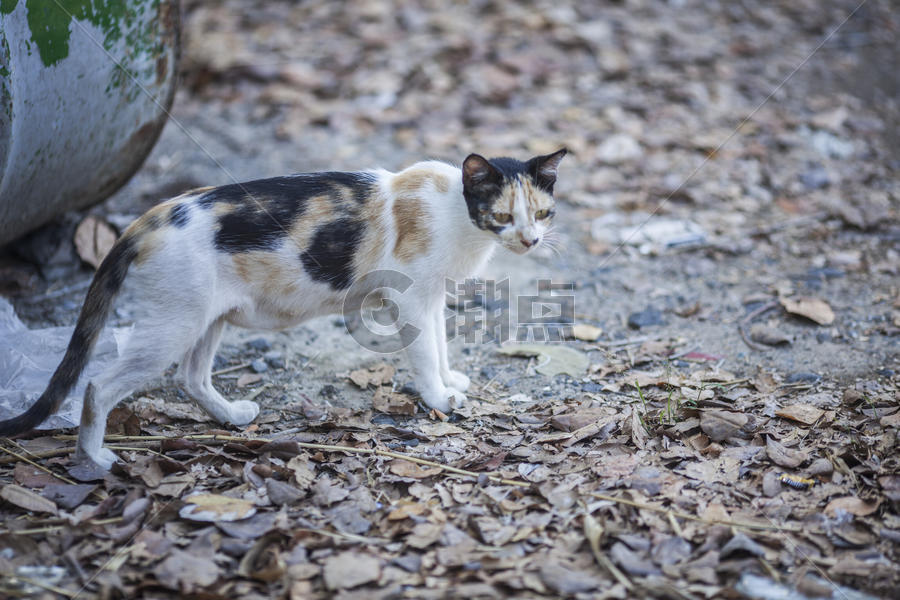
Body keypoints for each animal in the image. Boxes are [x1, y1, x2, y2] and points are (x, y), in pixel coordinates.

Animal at [0, 149, 564, 468]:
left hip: (206, 319)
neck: (455, 213)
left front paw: (450, 382)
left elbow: (441, 346)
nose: (531, 241)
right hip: (173, 325)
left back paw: (230, 416)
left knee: (190, 377)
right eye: (502, 216)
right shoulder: (408, 298)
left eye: (542, 213)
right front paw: (438, 398)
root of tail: (150, 217)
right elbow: (425, 354)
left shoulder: (429, 299)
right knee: (98, 385)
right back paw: (92, 458)